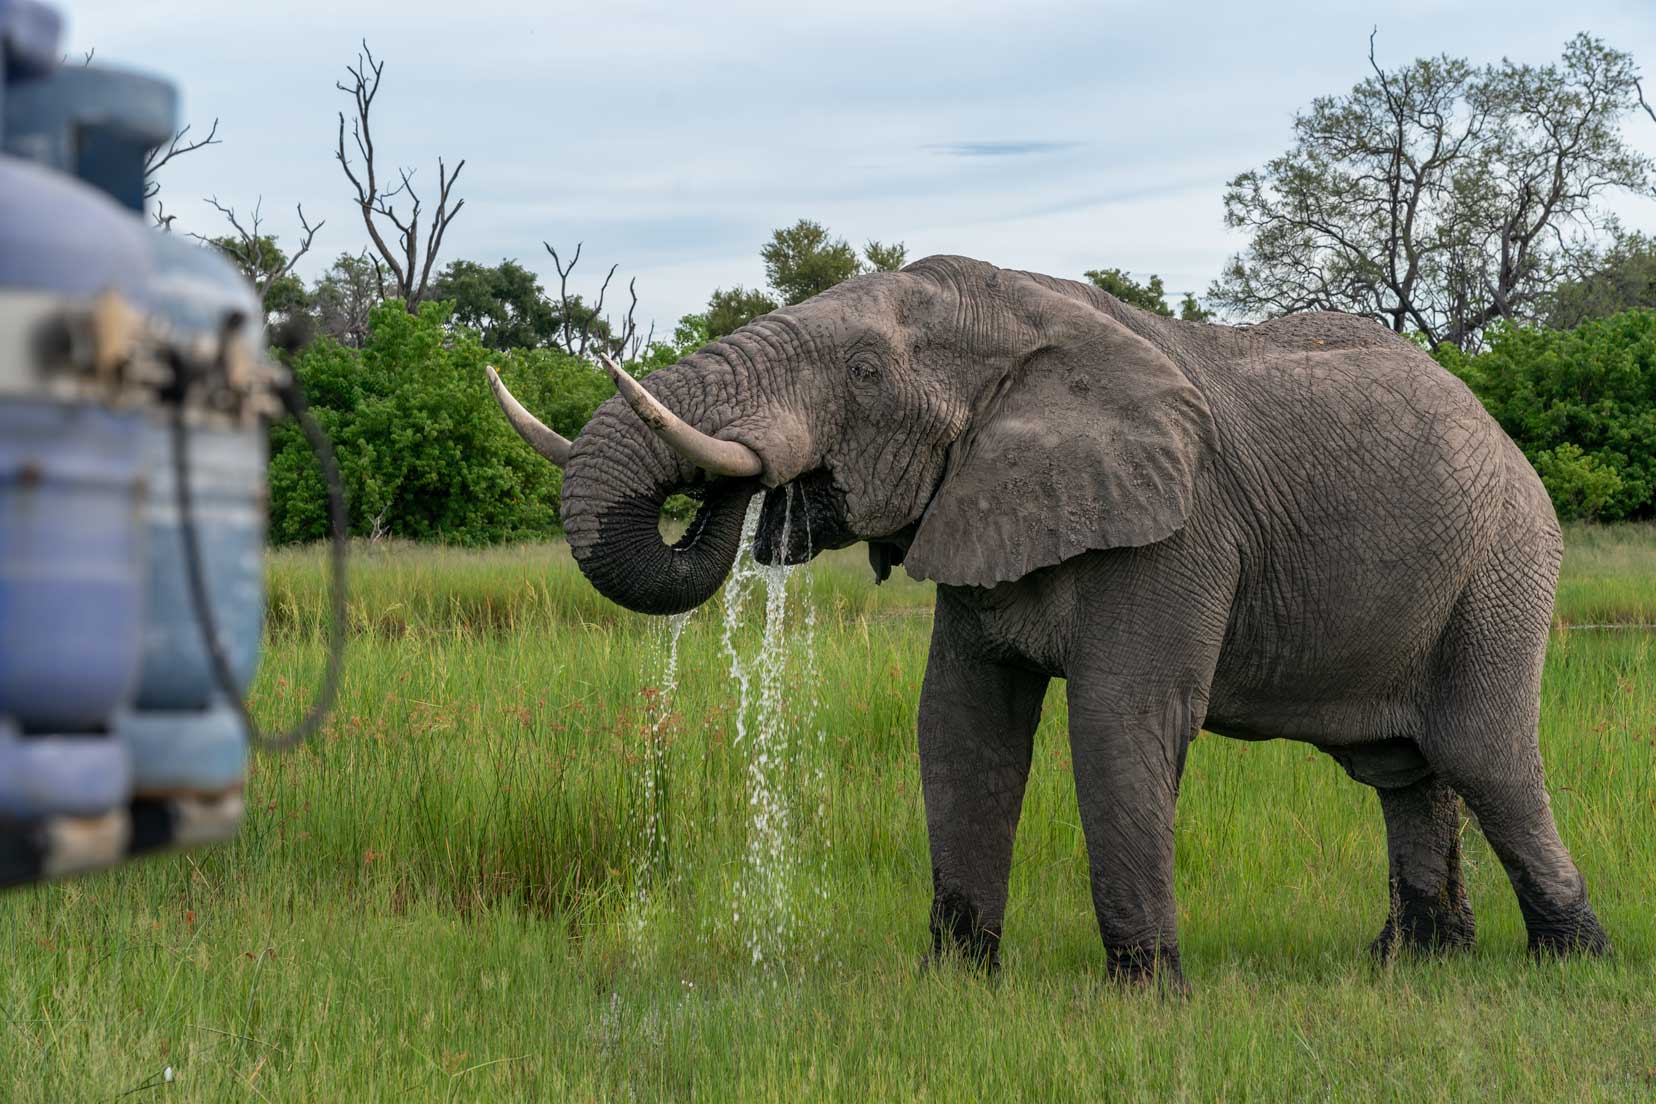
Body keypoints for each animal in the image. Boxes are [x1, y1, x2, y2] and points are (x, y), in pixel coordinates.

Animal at [486, 254, 1603, 986]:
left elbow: (1117, 723)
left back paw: (1571, 962)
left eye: (865, 374)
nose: (767, 499)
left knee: (1485, 754)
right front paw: (954, 983)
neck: (1027, 316)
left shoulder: (1179, 529)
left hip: (1504, 563)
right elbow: (960, 724)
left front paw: (1146, 993)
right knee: (1405, 771)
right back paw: (1414, 963)